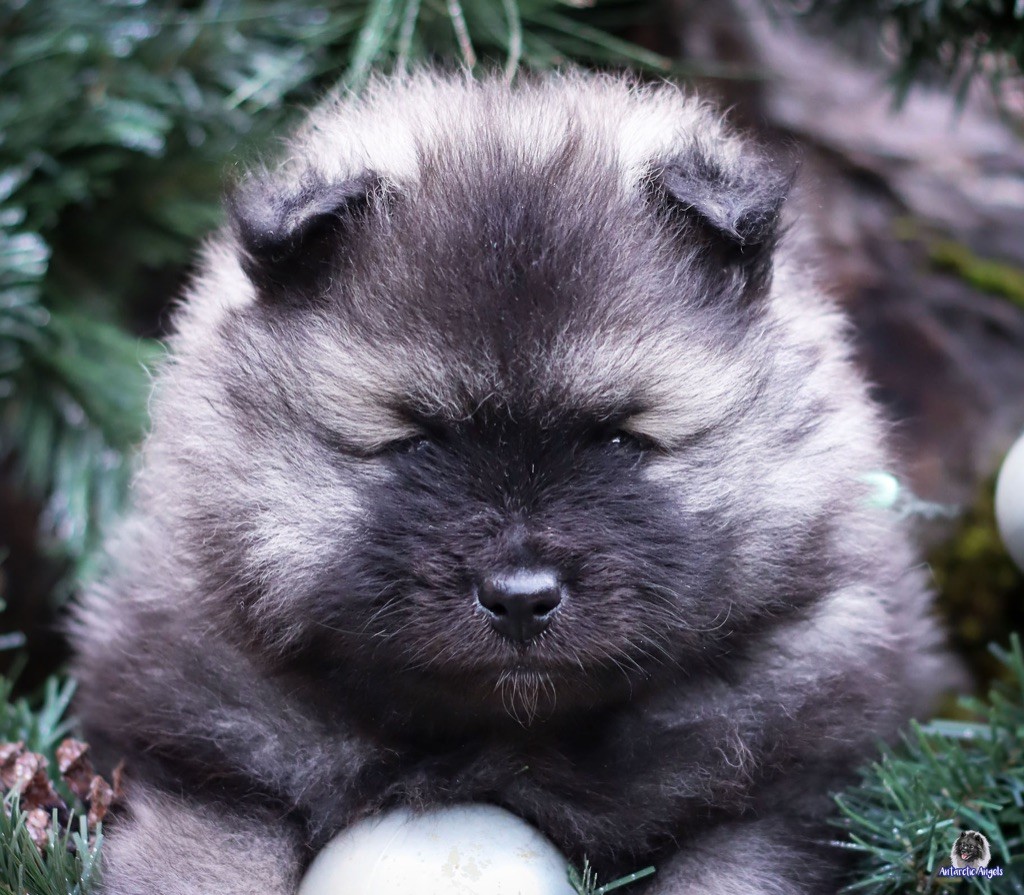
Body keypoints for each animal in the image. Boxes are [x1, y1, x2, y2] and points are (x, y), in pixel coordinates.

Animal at [70, 71, 950, 892]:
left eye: (620, 438)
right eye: (418, 443)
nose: (521, 597)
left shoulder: (787, 777)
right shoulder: (204, 756)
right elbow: (212, 856)